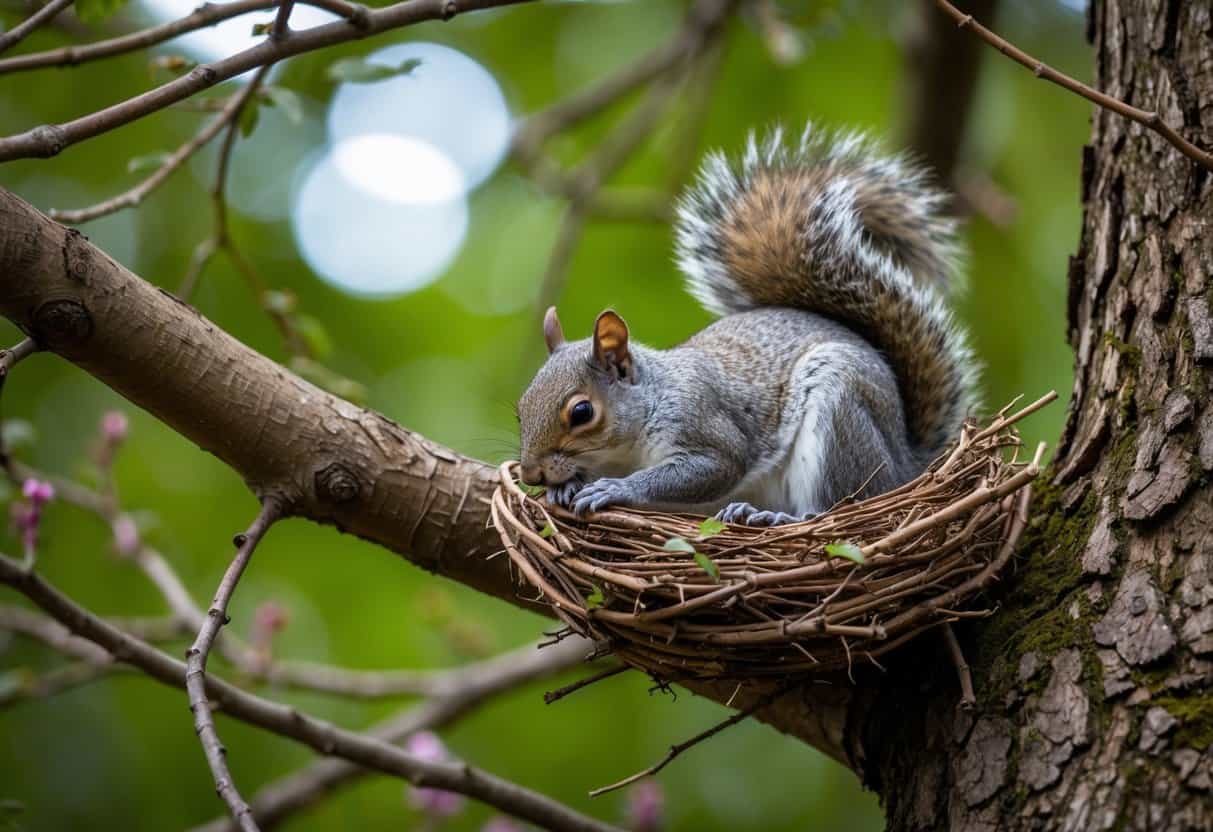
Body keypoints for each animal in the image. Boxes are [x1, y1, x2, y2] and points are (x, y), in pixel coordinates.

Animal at [516, 123, 978, 526]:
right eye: (520, 410)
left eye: (581, 412)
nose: (530, 474)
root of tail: (905, 464)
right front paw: (565, 487)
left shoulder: (703, 424)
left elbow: (711, 467)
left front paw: (617, 488)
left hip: (842, 413)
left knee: (836, 503)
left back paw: (776, 517)